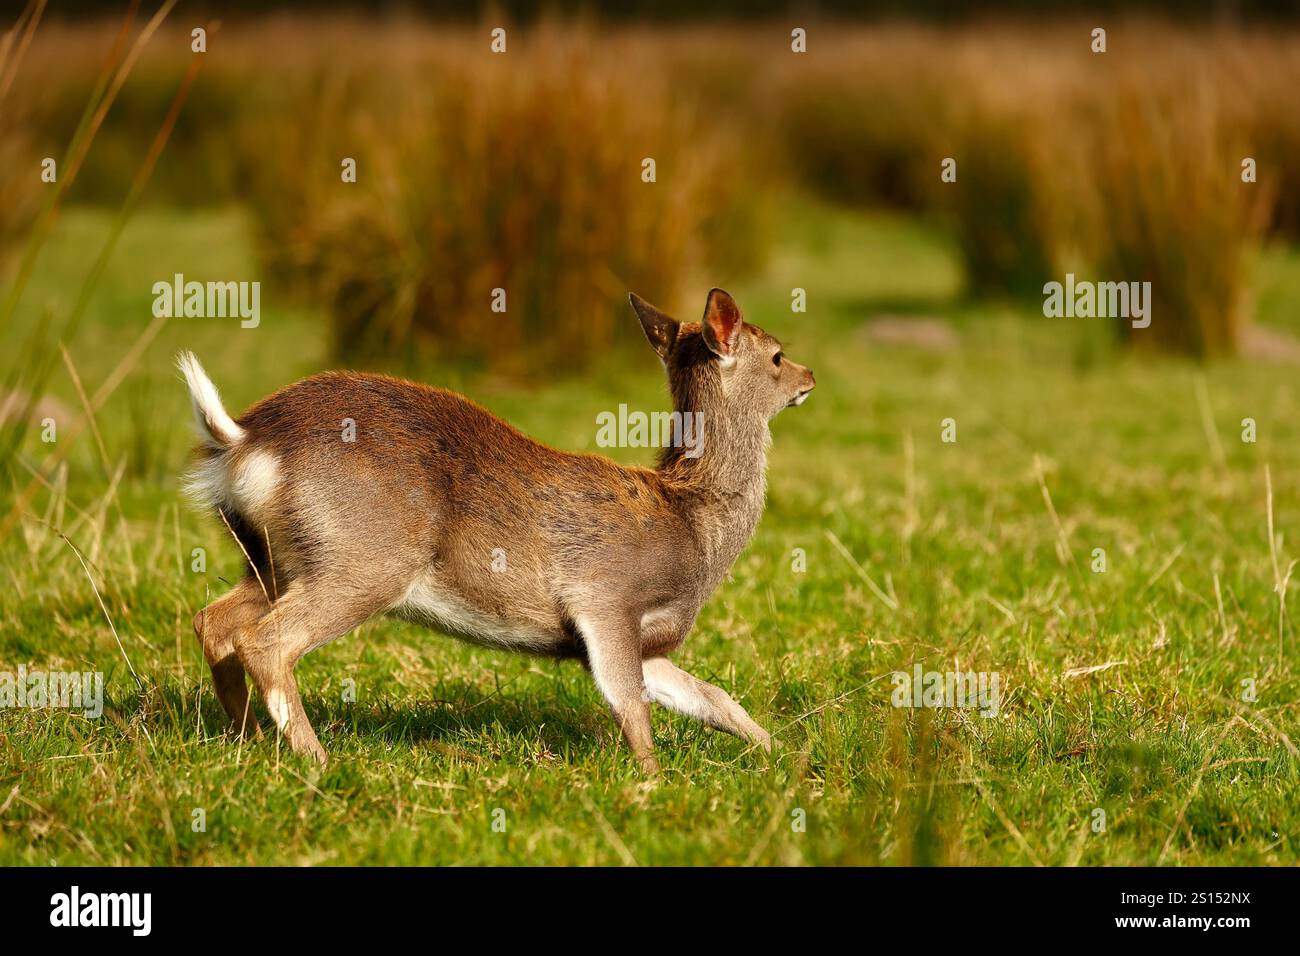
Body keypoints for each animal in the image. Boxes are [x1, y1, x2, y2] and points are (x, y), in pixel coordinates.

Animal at [180, 288, 814, 773]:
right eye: (777, 355)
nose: (810, 374)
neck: (692, 524)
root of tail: (245, 440)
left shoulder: (637, 638)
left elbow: (711, 697)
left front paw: (785, 755)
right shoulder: (605, 599)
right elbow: (630, 706)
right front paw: (654, 782)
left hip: (274, 557)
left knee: (214, 620)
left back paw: (246, 742)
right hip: (364, 556)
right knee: (265, 641)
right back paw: (317, 760)